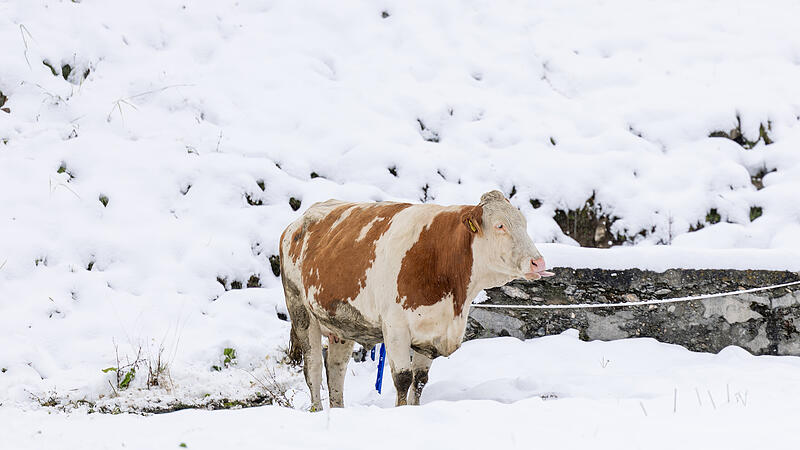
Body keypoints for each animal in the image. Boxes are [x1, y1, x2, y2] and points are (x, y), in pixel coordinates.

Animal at [280, 191, 552, 412]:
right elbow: (402, 378)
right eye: (500, 225)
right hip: (300, 311)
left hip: (342, 324)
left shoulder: (431, 330)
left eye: (523, 224)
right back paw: (316, 410)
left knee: (335, 368)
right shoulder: (395, 328)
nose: (538, 262)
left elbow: (420, 380)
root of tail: (297, 223)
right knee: (313, 367)